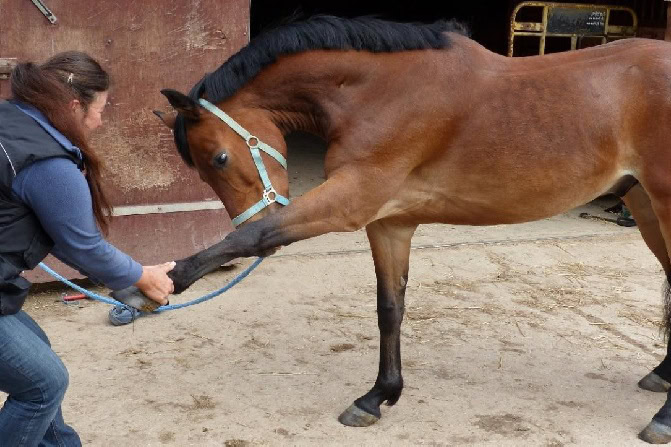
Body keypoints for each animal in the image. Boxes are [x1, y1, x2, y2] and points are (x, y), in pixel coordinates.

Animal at [114, 15, 671, 442]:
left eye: (219, 158)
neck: (382, 91)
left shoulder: (351, 201)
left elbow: (254, 237)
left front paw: (159, 285)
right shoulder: (389, 223)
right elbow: (390, 308)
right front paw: (378, 396)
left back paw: (660, 419)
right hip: (645, 208)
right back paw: (662, 377)